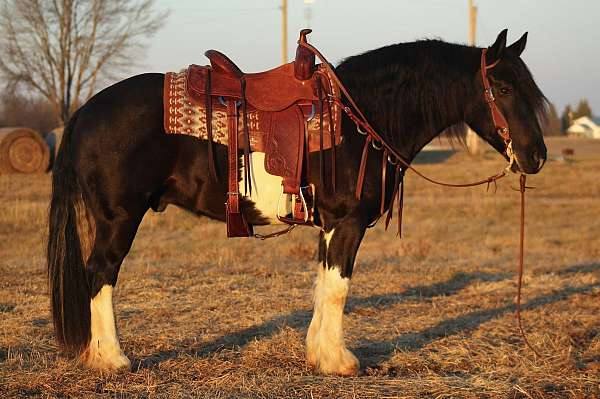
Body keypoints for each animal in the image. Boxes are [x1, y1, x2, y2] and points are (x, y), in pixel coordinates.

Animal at [48, 30, 548, 376]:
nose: (537, 156)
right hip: (119, 219)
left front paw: (319, 354)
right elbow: (340, 287)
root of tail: (84, 111)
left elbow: (323, 285)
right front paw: (340, 361)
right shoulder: (348, 222)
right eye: (504, 89)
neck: (360, 118)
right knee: (100, 273)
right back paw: (112, 359)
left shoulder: (329, 225)